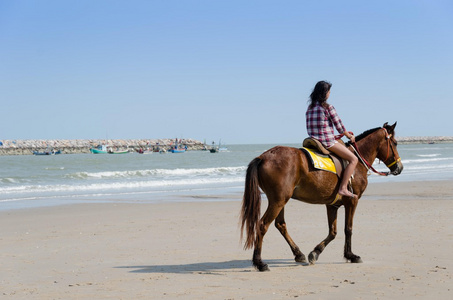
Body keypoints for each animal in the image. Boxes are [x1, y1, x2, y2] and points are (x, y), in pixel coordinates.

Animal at [240, 122, 402, 272]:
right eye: (395, 143)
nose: (399, 168)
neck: (357, 162)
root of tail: (263, 157)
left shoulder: (332, 205)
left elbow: (333, 232)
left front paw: (315, 252)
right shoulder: (352, 201)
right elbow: (348, 229)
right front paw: (351, 255)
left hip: (279, 201)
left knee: (280, 224)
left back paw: (298, 253)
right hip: (278, 201)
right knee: (262, 225)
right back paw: (260, 262)